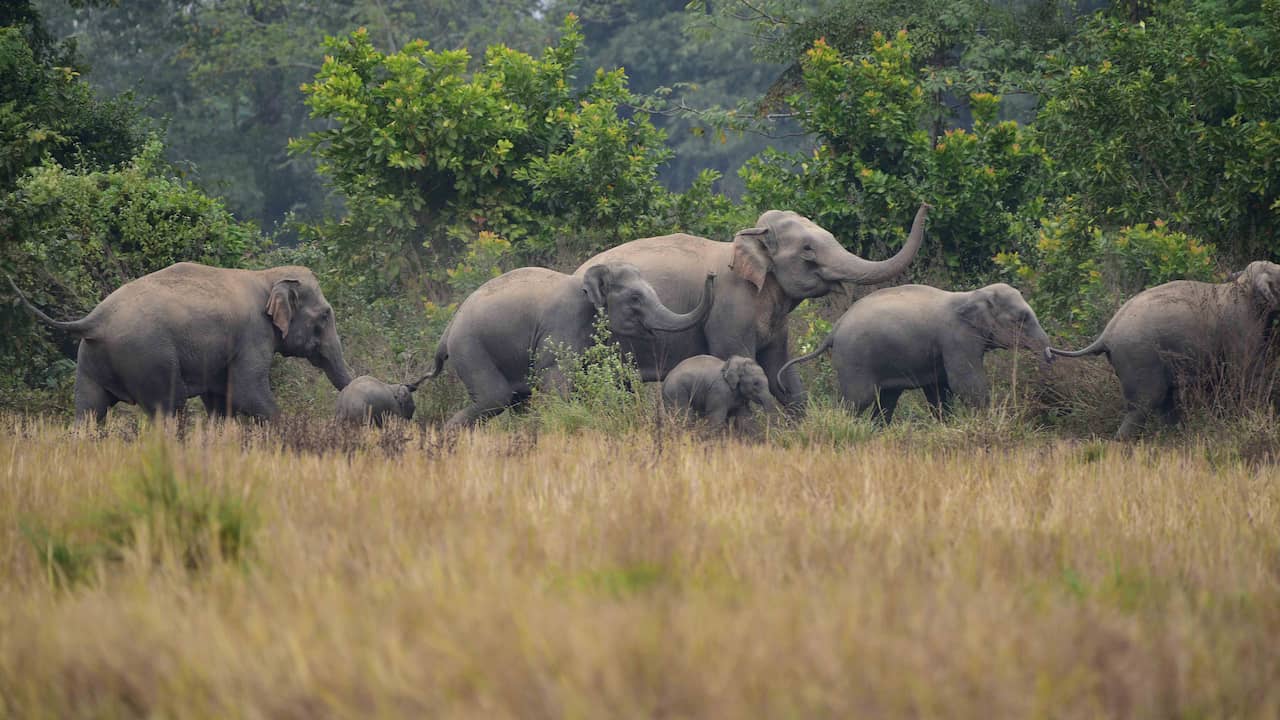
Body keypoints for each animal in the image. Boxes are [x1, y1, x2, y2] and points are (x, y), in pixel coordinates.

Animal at [10, 260, 353, 420]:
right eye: (325, 316)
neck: (266, 275)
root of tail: (95, 317)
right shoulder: (253, 334)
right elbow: (246, 390)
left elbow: (220, 398)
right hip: (149, 358)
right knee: (168, 408)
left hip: (90, 361)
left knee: (89, 411)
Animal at [419, 265, 721, 427]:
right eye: (635, 299)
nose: (711, 274)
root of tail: (447, 332)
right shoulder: (562, 324)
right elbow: (557, 385)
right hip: (470, 349)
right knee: (495, 397)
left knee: (513, 402)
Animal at [778, 283, 1049, 422]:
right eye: (1022, 319)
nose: (1049, 355)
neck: (974, 294)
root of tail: (834, 328)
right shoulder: (957, 338)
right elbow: (964, 383)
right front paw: (987, 420)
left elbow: (939, 389)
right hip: (854, 357)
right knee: (859, 399)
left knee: (887, 400)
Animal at [1049, 257, 1280, 438]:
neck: (1244, 284)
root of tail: (1106, 334)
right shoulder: (1241, 326)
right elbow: (1247, 373)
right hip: (1139, 356)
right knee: (1146, 402)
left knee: (1164, 400)